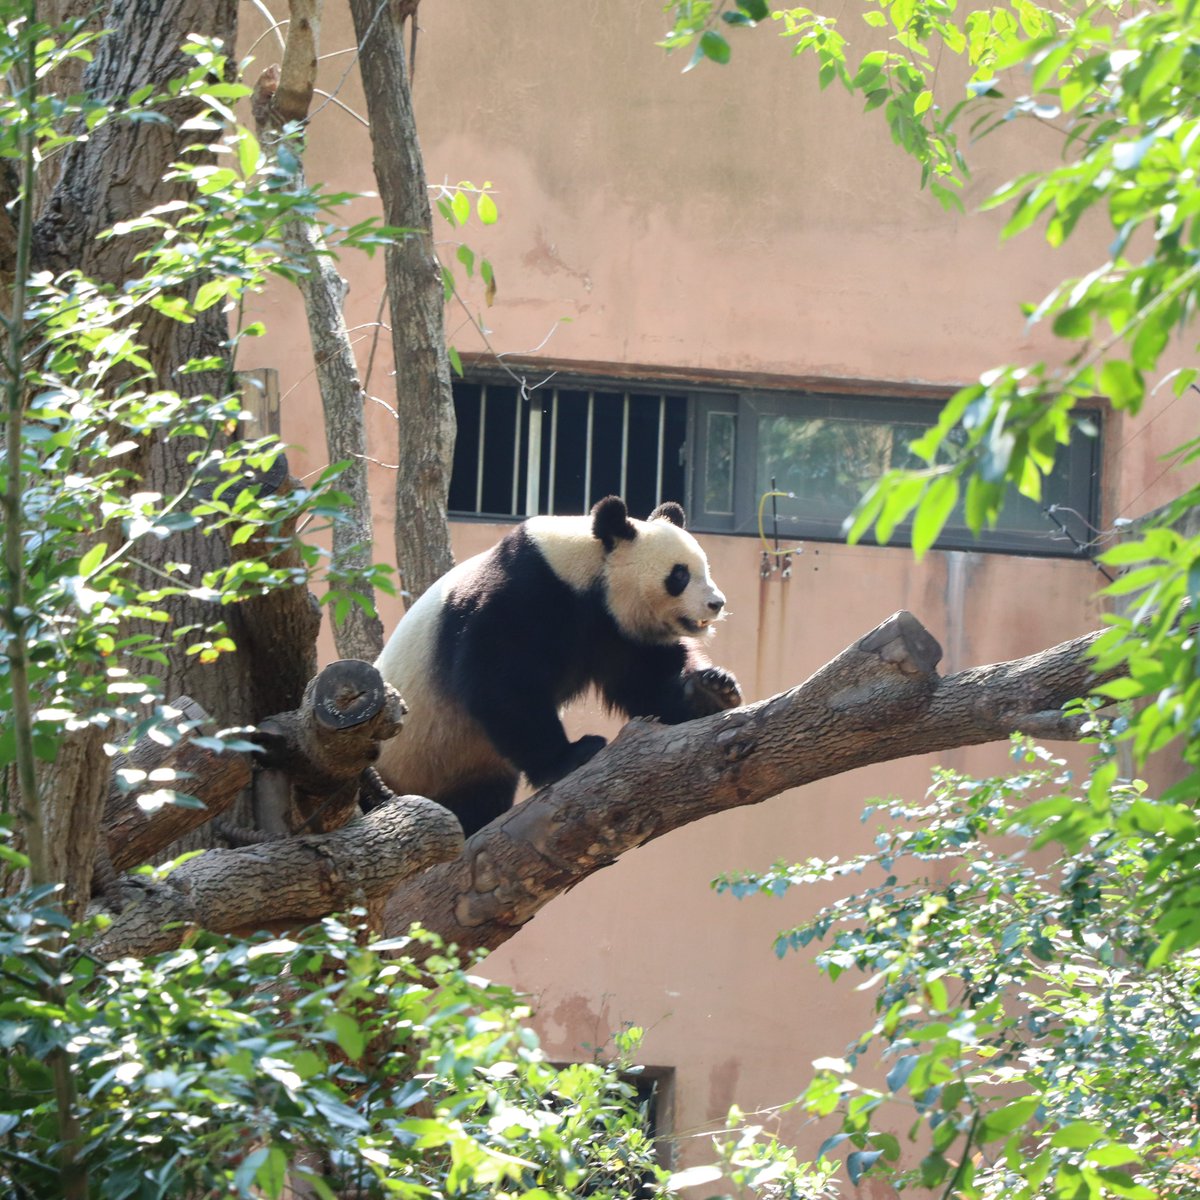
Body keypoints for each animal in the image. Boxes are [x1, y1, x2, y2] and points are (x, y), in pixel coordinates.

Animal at [374, 494, 739, 835]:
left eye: (704, 568)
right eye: (680, 574)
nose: (717, 603)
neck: (587, 571)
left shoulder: (619, 631)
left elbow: (645, 681)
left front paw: (711, 690)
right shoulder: (524, 595)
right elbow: (502, 685)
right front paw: (573, 755)